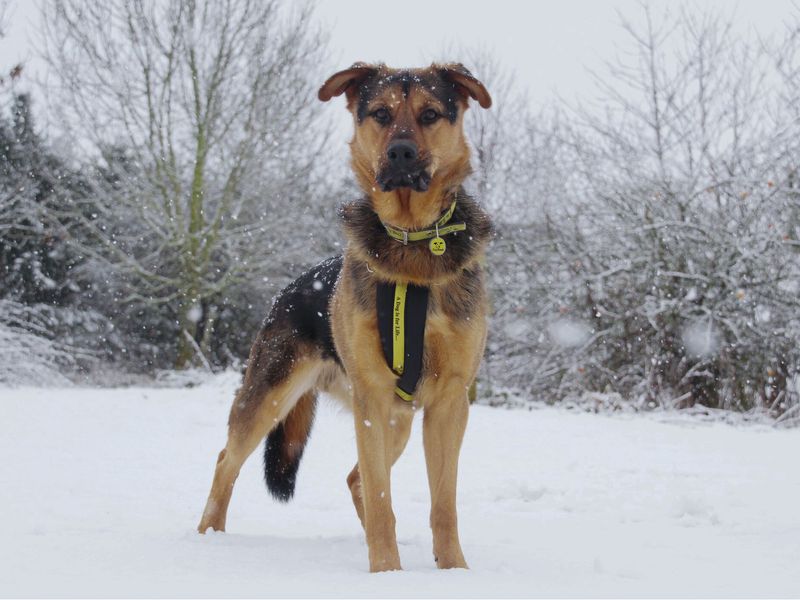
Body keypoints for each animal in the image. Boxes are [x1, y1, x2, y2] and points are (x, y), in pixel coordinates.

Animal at [197, 61, 490, 572]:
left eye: (430, 114)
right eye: (380, 113)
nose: (400, 152)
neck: (411, 242)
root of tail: (288, 289)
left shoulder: (449, 403)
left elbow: (442, 503)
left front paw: (453, 570)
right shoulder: (372, 400)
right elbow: (381, 496)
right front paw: (387, 573)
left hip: (399, 419)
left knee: (356, 479)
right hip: (272, 395)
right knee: (226, 460)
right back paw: (206, 537)